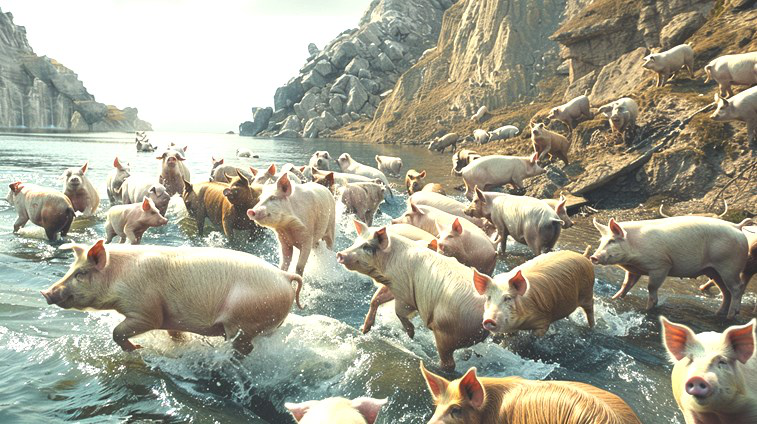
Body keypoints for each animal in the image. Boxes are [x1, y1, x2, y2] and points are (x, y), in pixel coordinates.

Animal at [41, 240, 303, 355]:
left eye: (81, 273)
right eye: (71, 269)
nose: (45, 292)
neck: (119, 276)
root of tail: (284, 275)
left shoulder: (146, 309)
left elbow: (119, 331)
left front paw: (137, 348)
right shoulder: (171, 318)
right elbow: (174, 334)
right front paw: (180, 344)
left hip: (243, 321)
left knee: (242, 346)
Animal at [338, 225, 487, 370]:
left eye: (367, 247)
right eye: (356, 242)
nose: (340, 254)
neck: (388, 262)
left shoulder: (404, 292)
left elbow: (398, 311)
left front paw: (411, 334)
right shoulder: (394, 285)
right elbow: (376, 299)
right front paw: (364, 330)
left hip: (445, 331)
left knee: (449, 363)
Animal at [591, 216, 750, 318]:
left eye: (612, 241)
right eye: (601, 241)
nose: (593, 257)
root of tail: (737, 226)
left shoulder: (661, 265)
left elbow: (651, 287)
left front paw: (648, 309)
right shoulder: (634, 270)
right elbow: (625, 285)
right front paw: (614, 299)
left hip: (729, 266)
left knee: (737, 288)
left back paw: (730, 316)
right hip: (714, 271)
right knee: (726, 291)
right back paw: (718, 313)